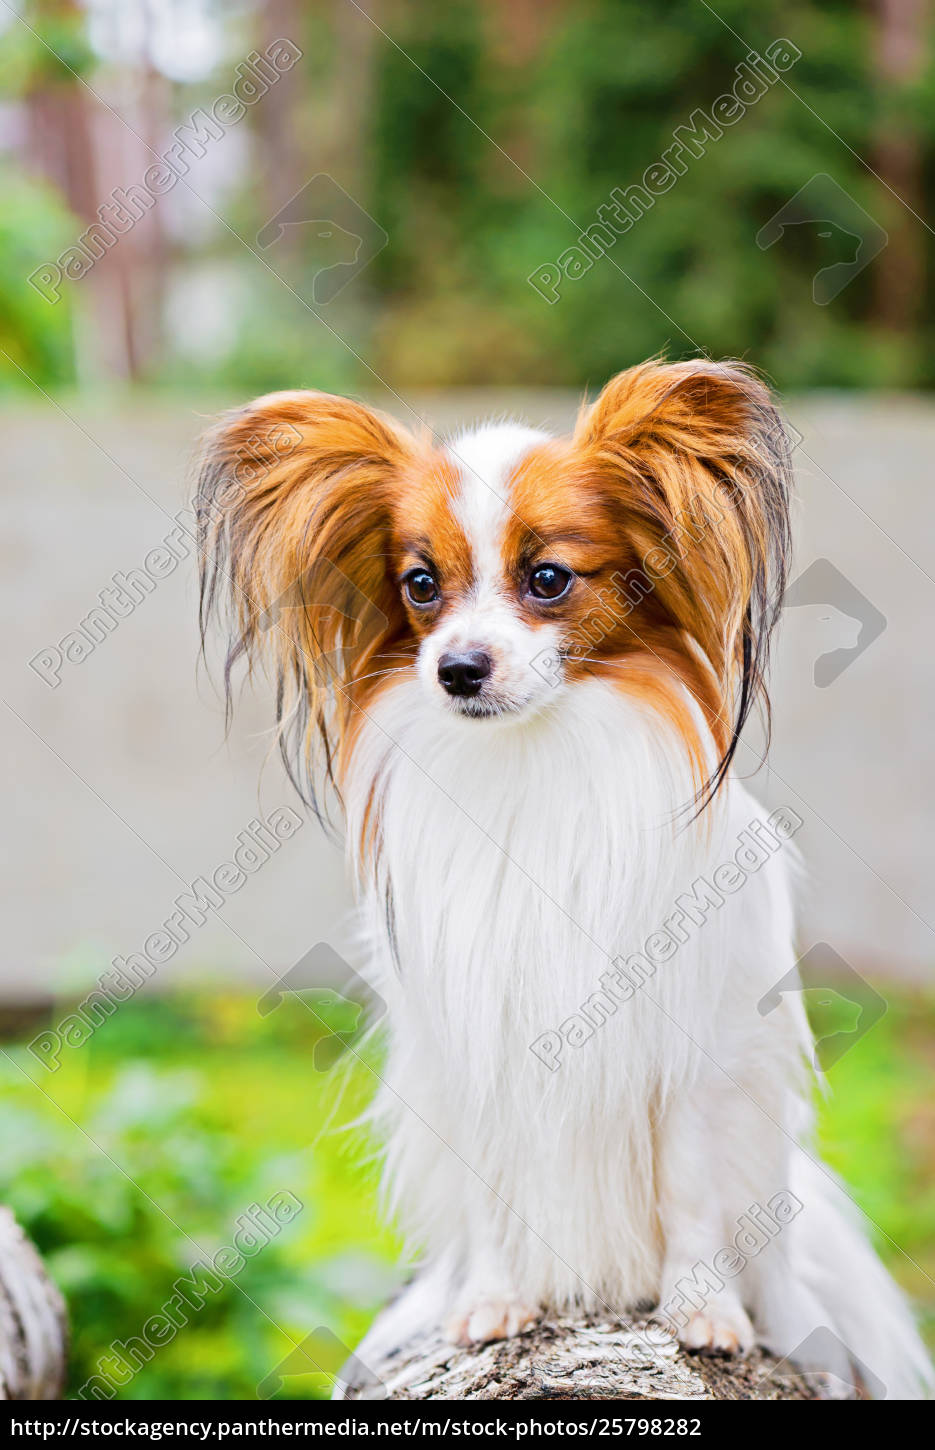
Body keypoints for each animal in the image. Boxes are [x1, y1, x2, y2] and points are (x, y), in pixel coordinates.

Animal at [195, 359, 927, 1392]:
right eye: (420, 585)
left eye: (547, 579)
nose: (458, 669)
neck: (535, 758)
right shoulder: (479, 1044)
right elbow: (493, 1194)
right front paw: (494, 1304)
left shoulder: (694, 1049)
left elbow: (690, 1191)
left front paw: (702, 1314)